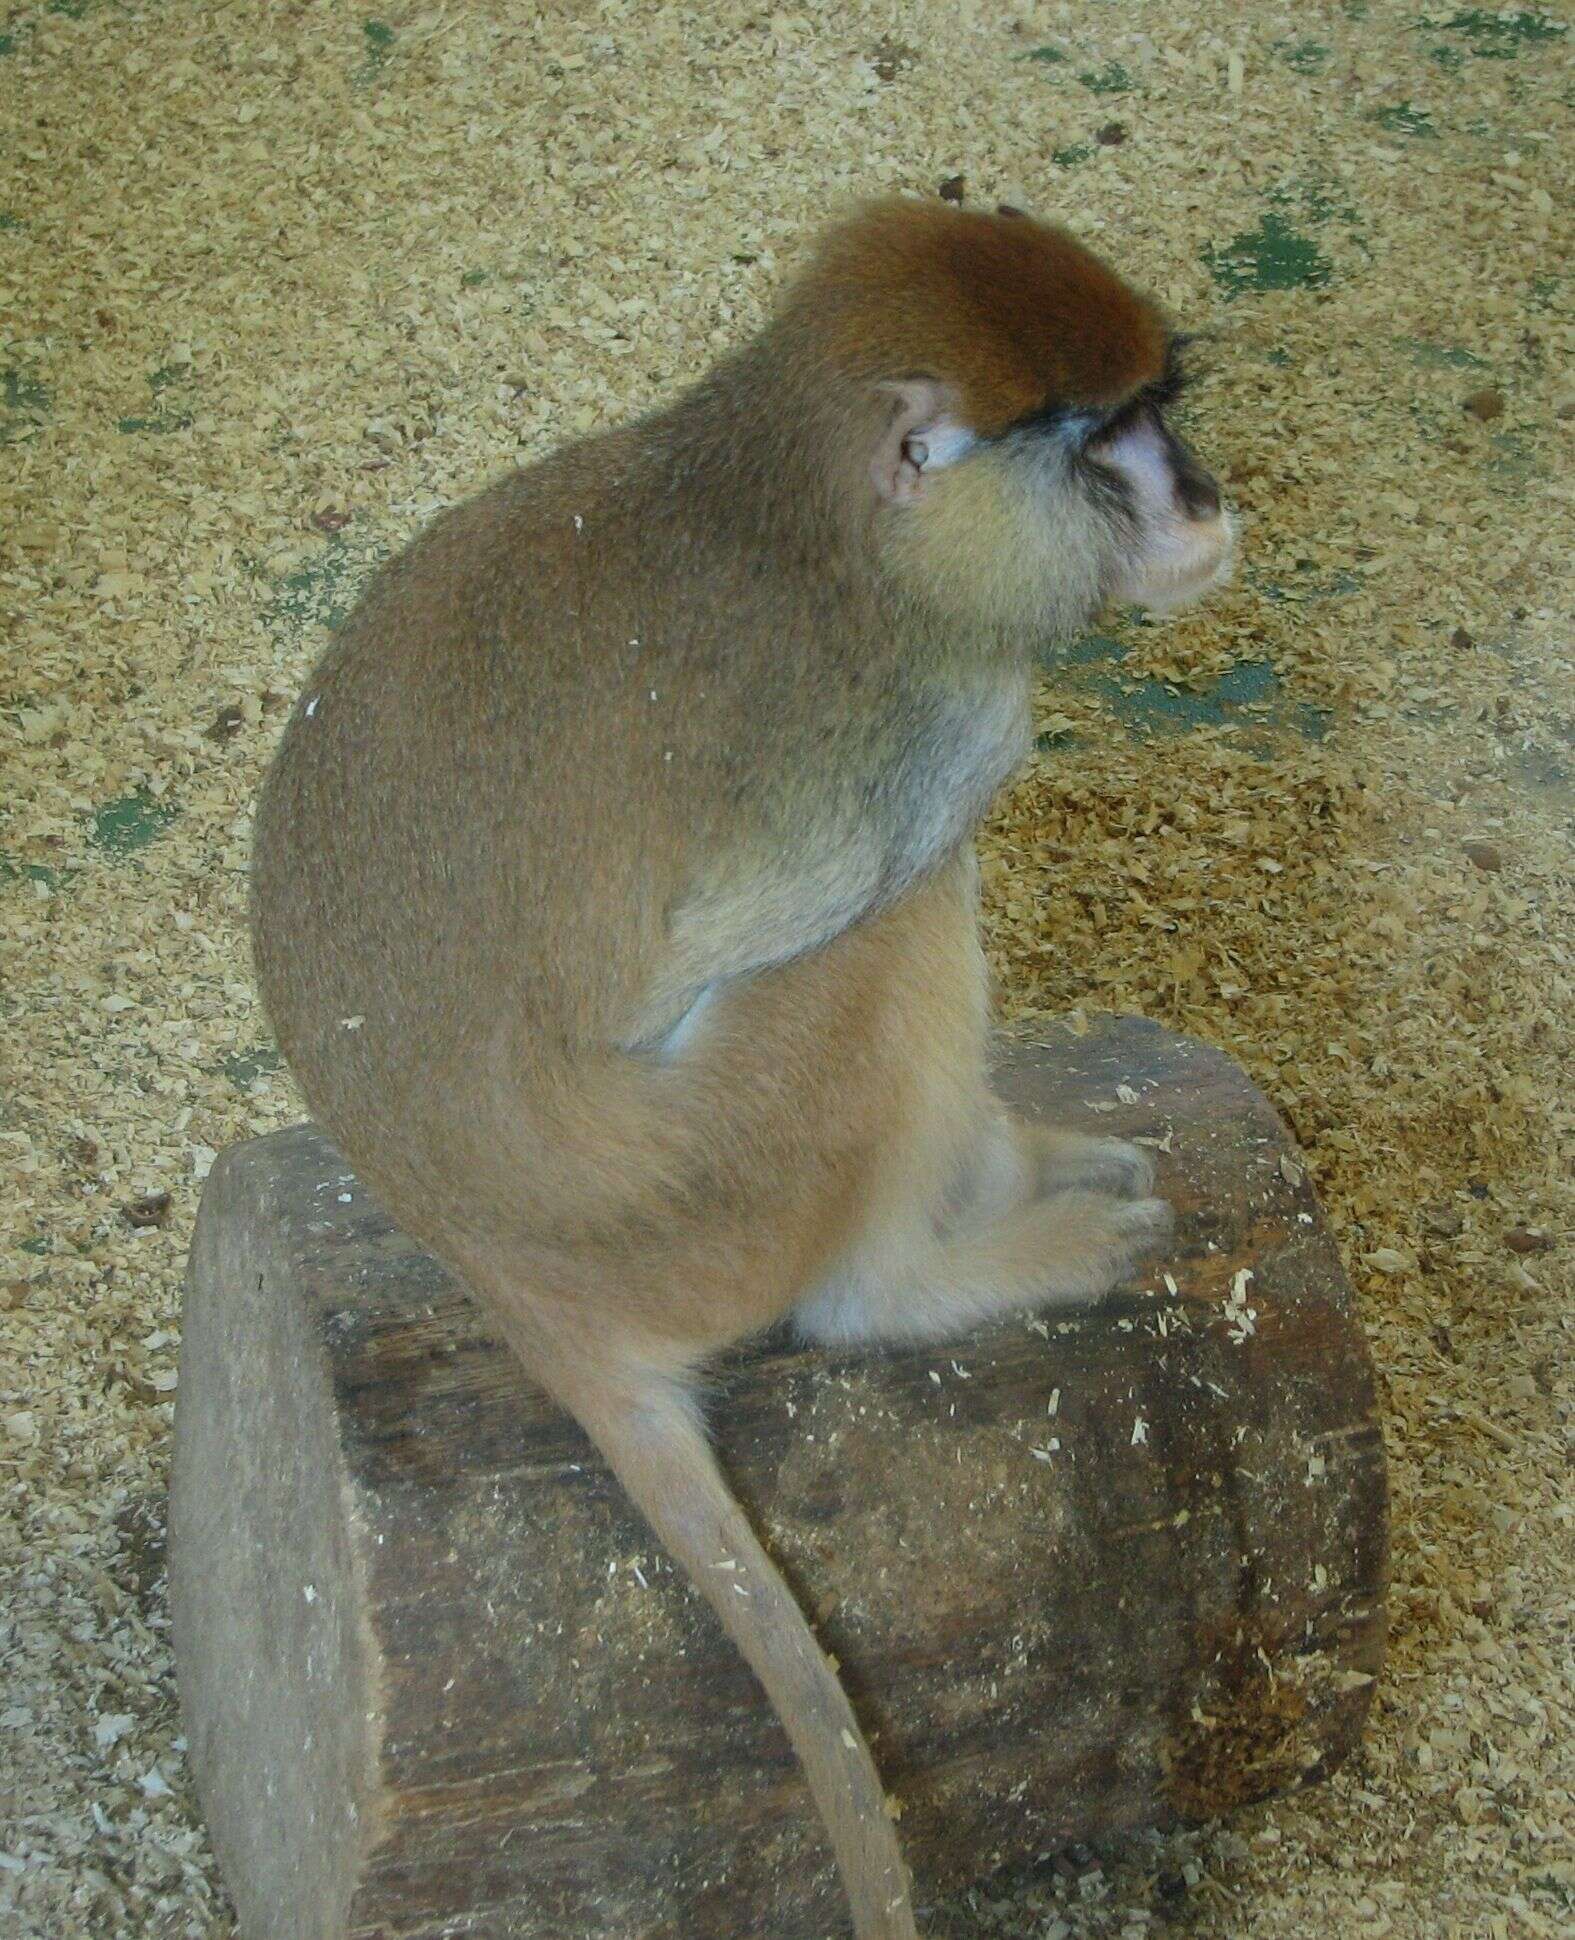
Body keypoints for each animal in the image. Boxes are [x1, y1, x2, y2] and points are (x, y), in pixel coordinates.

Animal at [252, 200, 1233, 1940]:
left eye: (1153, 412)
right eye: (1100, 440)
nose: (1195, 499)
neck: (822, 530)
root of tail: (526, 1296)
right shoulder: (919, 741)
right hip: (723, 1187)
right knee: (892, 931)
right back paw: (920, 1270)